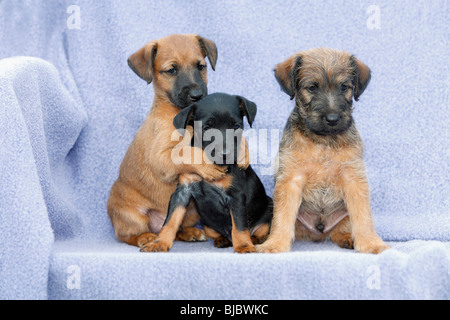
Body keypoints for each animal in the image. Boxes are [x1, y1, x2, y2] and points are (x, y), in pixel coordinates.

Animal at [142, 92, 272, 252]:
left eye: (236, 126)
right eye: (206, 128)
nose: (225, 154)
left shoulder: (236, 196)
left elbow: (240, 225)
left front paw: (243, 246)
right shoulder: (182, 191)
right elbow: (170, 221)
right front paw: (159, 243)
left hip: (268, 210)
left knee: (260, 232)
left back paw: (253, 240)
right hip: (207, 225)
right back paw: (222, 240)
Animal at [256, 47, 390, 254]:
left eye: (344, 87)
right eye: (312, 87)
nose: (332, 119)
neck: (323, 141)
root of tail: (319, 231)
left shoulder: (353, 179)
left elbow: (363, 216)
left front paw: (371, 243)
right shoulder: (290, 180)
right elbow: (282, 217)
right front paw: (275, 243)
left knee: (341, 229)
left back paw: (347, 238)